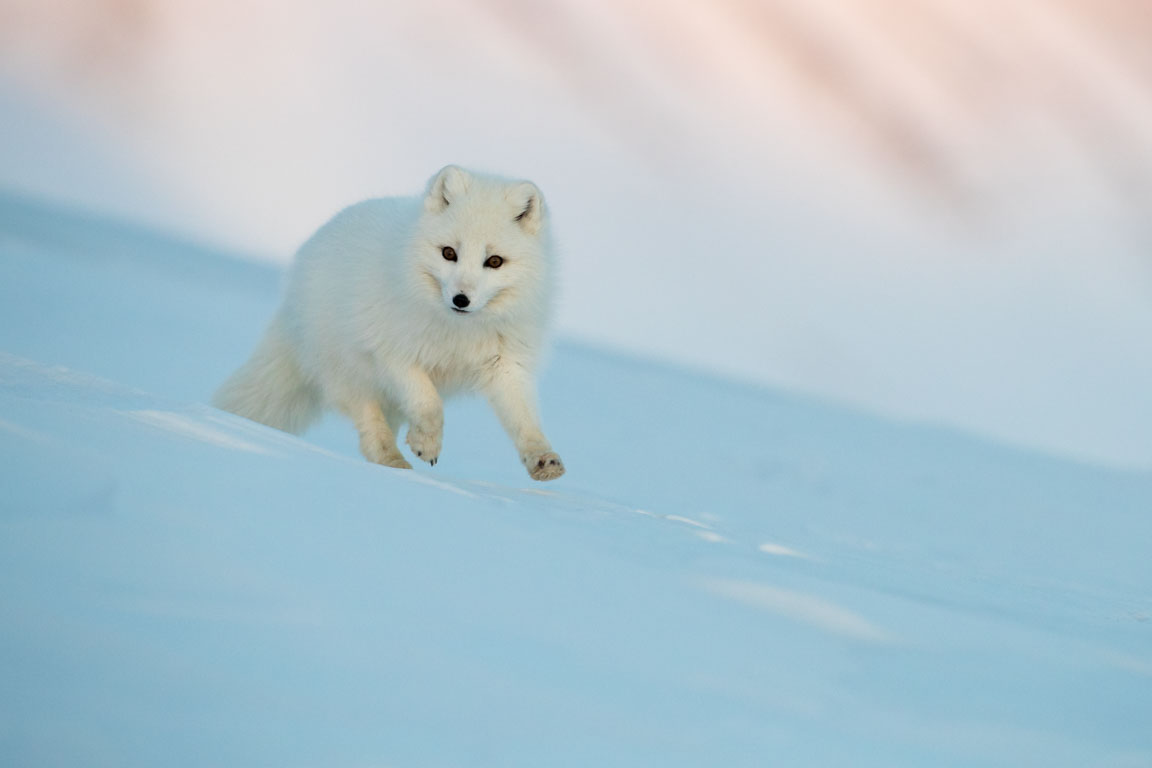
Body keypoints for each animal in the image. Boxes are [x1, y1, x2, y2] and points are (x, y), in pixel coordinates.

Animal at [215, 166, 566, 481]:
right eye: (448, 253)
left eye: (494, 261)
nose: (461, 299)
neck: (457, 334)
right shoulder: (390, 352)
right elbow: (429, 402)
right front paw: (427, 443)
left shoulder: (506, 365)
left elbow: (524, 419)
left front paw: (543, 459)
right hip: (350, 373)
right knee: (370, 425)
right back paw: (394, 463)